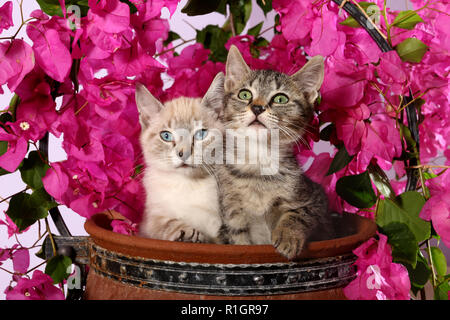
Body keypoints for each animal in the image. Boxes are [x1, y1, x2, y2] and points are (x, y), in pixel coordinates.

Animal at [134, 72, 224, 242]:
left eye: (201, 134)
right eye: (166, 136)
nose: (183, 153)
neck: (186, 184)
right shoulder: (150, 221)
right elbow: (165, 224)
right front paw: (186, 233)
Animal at [216, 45, 332, 260]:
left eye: (280, 98)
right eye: (245, 95)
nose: (257, 107)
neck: (257, 164)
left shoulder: (316, 200)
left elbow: (298, 214)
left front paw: (288, 236)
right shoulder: (231, 213)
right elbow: (239, 241)